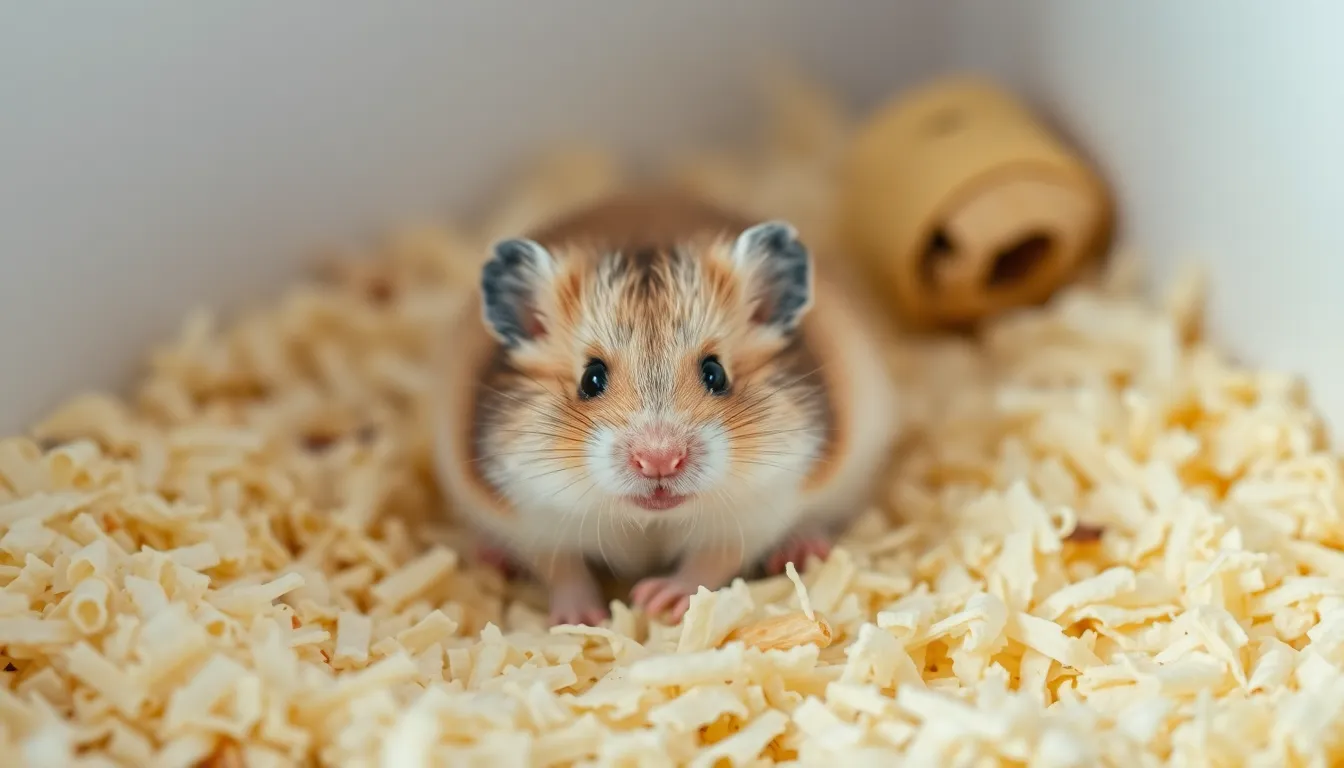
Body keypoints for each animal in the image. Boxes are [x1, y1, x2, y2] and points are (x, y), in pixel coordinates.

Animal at [432, 191, 901, 626]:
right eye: (591, 378)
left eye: (715, 373)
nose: (659, 460)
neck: (649, 520)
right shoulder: (532, 517)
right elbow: (562, 568)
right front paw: (581, 621)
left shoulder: (756, 511)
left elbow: (711, 562)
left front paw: (658, 601)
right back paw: (490, 556)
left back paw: (803, 547)